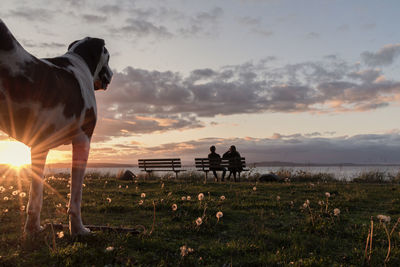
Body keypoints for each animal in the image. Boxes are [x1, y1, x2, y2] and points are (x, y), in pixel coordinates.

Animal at [0, 19, 113, 236]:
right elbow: (75, 197)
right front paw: (78, 229)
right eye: (109, 57)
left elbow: (35, 197)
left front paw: (33, 229)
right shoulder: (83, 141)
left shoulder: (40, 146)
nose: (112, 74)